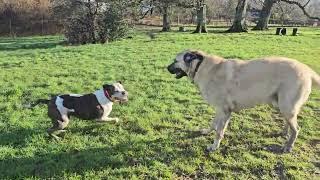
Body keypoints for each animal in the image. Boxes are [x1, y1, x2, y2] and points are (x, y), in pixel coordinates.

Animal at [168, 50, 320, 153]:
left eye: (175, 61)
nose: (166, 68)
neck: (201, 66)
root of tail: (307, 70)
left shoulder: (224, 111)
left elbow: (219, 131)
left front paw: (214, 146)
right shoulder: (219, 110)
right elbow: (213, 124)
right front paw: (206, 131)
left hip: (287, 106)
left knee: (296, 129)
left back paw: (288, 146)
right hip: (280, 105)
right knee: (289, 123)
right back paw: (284, 133)